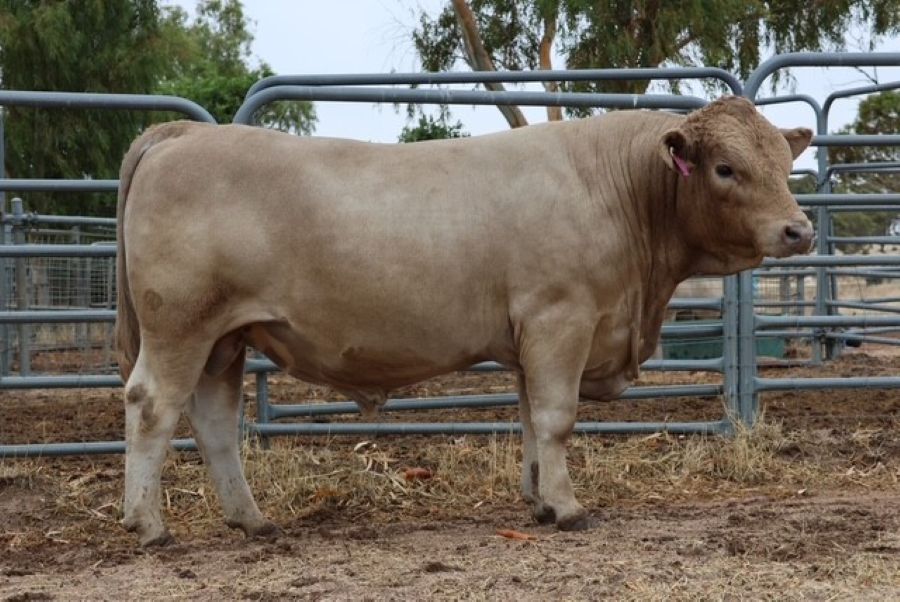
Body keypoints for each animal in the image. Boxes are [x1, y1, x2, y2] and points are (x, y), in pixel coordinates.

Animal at [115, 96, 813, 546]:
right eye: (726, 168)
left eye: (784, 165)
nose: (799, 230)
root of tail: (181, 135)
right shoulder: (560, 320)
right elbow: (557, 420)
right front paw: (569, 507)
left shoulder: (532, 338)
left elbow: (531, 422)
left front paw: (539, 501)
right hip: (182, 324)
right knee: (152, 406)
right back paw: (149, 525)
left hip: (225, 339)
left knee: (214, 425)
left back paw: (252, 521)